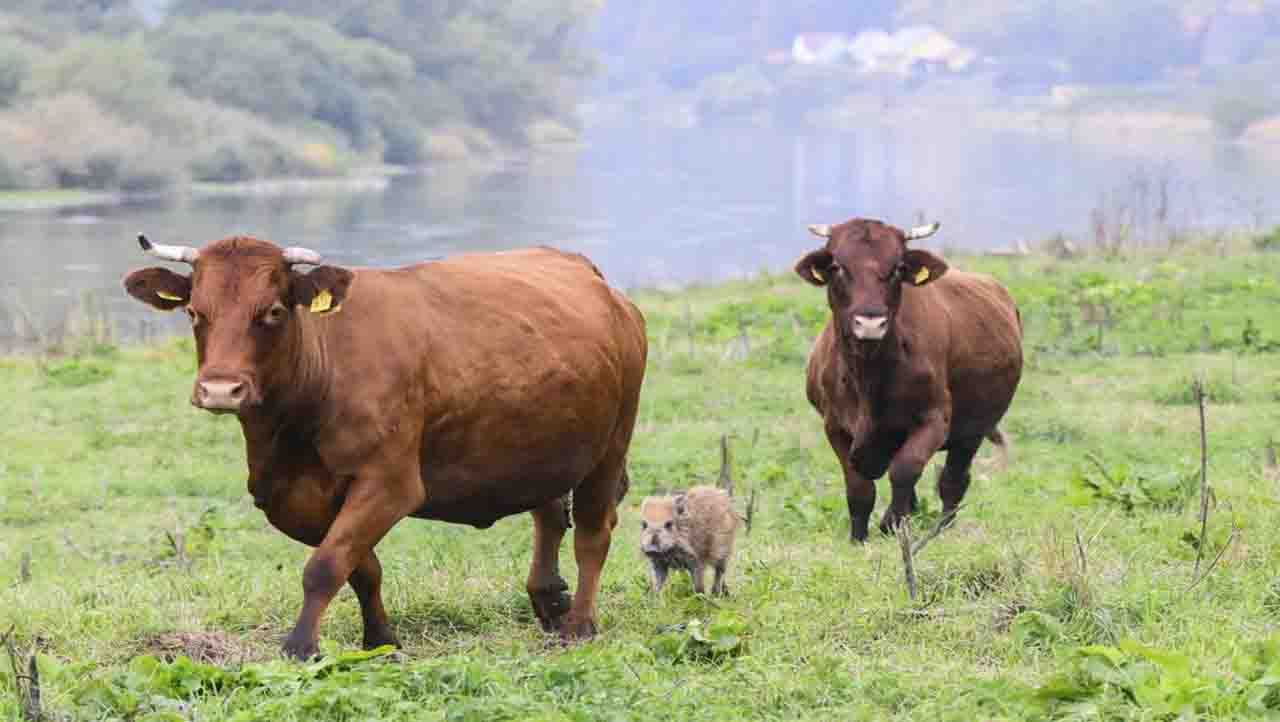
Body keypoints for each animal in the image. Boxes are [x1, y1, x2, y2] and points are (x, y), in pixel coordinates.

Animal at [123, 234, 645, 655]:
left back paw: (578, 624)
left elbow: (325, 565)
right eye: (195, 312)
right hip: (544, 444)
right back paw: (548, 597)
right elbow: (360, 566)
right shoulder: (287, 496)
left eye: (272, 310)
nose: (220, 389)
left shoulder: (390, 481)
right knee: (550, 512)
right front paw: (380, 639)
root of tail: (587, 272)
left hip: (612, 443)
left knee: (593, 533)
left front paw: (300, 646)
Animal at [793, 220, 1024, 542]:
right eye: (838, 266)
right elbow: (859, 486)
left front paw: (893, 523)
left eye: (897, 268)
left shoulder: (934, 419)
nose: (870, 323)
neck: (868, 378)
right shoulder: (835, 425)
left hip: (973, 431)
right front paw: (858, 538)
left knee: (953, 481)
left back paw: (940, 528)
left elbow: (905, 469)